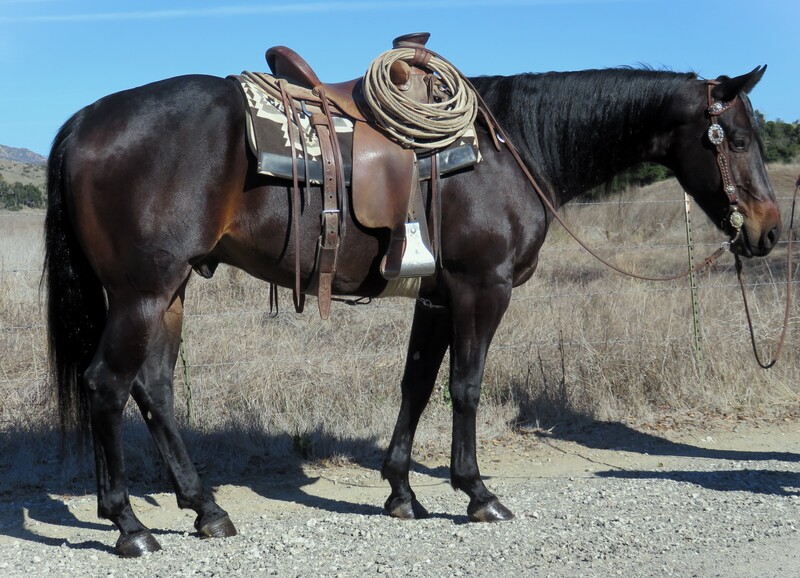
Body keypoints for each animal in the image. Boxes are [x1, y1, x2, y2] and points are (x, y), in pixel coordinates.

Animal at [43, 62, 780, 552]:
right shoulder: (483, 287)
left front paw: (402, 491)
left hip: (168, 293)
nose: (770, 232)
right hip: (142, 292)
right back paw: (129, 525)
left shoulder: (436, 295)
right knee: (107, 386)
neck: (512, 148)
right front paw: (477, 493)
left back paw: (204, 509)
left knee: (155, 391)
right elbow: (467, 386)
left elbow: (418, 384)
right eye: (739, 139)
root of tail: (84, 121)